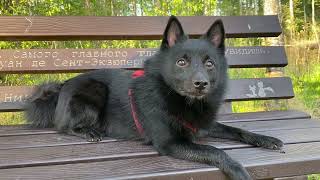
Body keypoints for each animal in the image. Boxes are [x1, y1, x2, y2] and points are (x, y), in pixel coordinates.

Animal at [26, 16, 284, 179]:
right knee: (63, 127)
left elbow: (237, 130)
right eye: (181, 62)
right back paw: (89, 132)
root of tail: (61, 87)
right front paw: (238, 169)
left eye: (209, 63)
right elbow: (215, 151)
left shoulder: (203, 126)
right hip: (95, 91)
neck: (179, 100)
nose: (201, 84)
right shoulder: (171, 143)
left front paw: (266, 139)